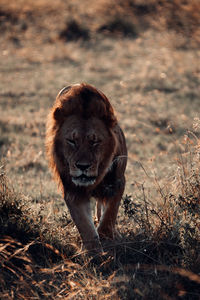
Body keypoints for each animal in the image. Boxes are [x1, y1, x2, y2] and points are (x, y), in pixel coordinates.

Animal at [45, 82, 126, 253]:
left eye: (94, 141)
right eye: (71, 141)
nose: (83, 166)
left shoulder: (117, 183)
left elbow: (110, 214)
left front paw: (106, 236)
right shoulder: (73, 191)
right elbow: (84, 225)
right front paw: (94, 252)